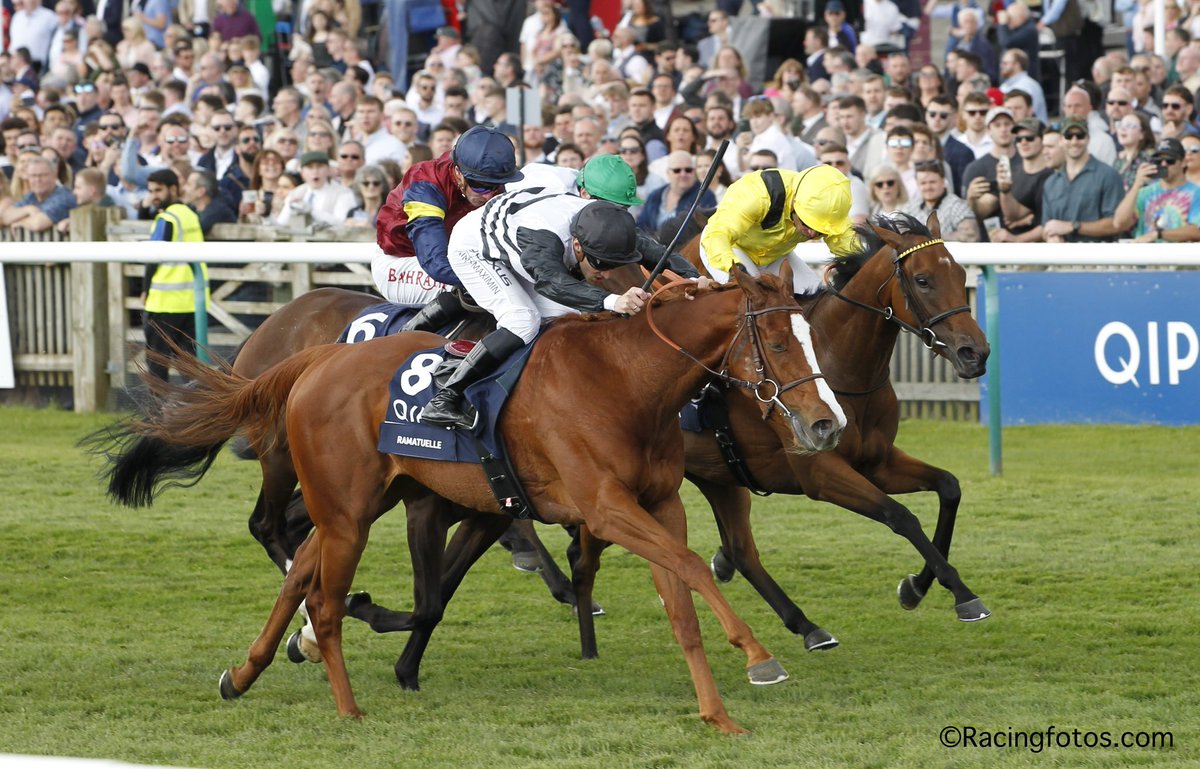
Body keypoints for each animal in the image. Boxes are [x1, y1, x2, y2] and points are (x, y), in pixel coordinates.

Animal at [100, 268, 844, 729]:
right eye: (779, 341)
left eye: (812, 335)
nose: (826, 423)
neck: (626, 379)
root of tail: (315, 358)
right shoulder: (604, 508)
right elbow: (690, 568)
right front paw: (759, 656)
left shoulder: (658, 505)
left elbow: (682, 598)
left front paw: (718, 713)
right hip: (346, 510)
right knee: (307, 577)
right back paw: (337, 690)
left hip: (362, 504)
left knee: (298, 577)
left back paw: (246, 671)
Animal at [571, 211, 993, 662]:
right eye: (923, 280)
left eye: (960, 273)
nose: (975, 353)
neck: (839, 365)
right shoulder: (819, 473)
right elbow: (900, 516)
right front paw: (960, 594)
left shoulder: (878, 461)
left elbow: (948, 487)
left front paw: (917, 586)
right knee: (589, 550)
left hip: (716, 475)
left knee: (741, 550)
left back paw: (804, 624)